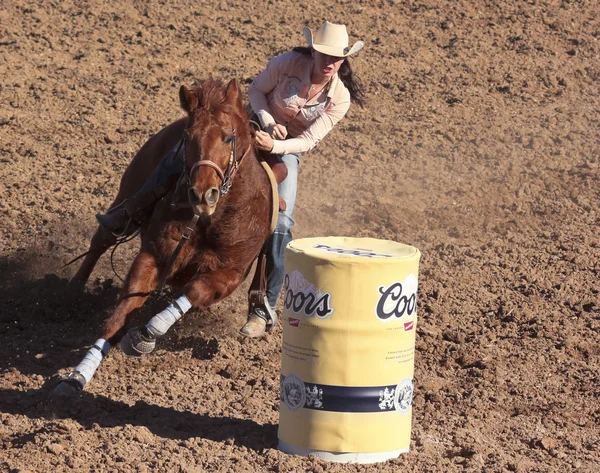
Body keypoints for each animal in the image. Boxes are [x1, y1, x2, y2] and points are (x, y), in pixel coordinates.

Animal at [56, 78, 272, 394]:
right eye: (188, 137)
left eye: (228, 138)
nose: (202, 193)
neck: (209, 218)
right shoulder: (153, 256)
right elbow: (117, 317)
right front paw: (78, 374)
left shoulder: (229, 275)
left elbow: (194, 291)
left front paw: (149, 331)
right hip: (128, 189)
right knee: (102, 238)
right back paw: (72, 291)